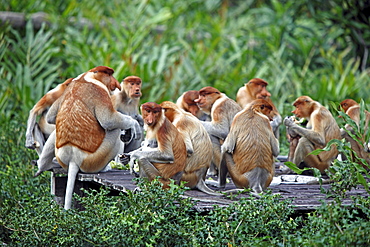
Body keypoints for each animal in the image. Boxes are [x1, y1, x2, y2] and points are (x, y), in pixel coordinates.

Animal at [35, 66, 142, 210]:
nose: (116, 83)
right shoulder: (100, 91)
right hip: (93, 160)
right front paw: (134, 124)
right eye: (110, 74)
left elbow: (51, 116)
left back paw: (43, 165)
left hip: (62, 156)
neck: (86, 77)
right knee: (114, 130)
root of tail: (73, 158)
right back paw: (106, 168)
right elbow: (108, 120)